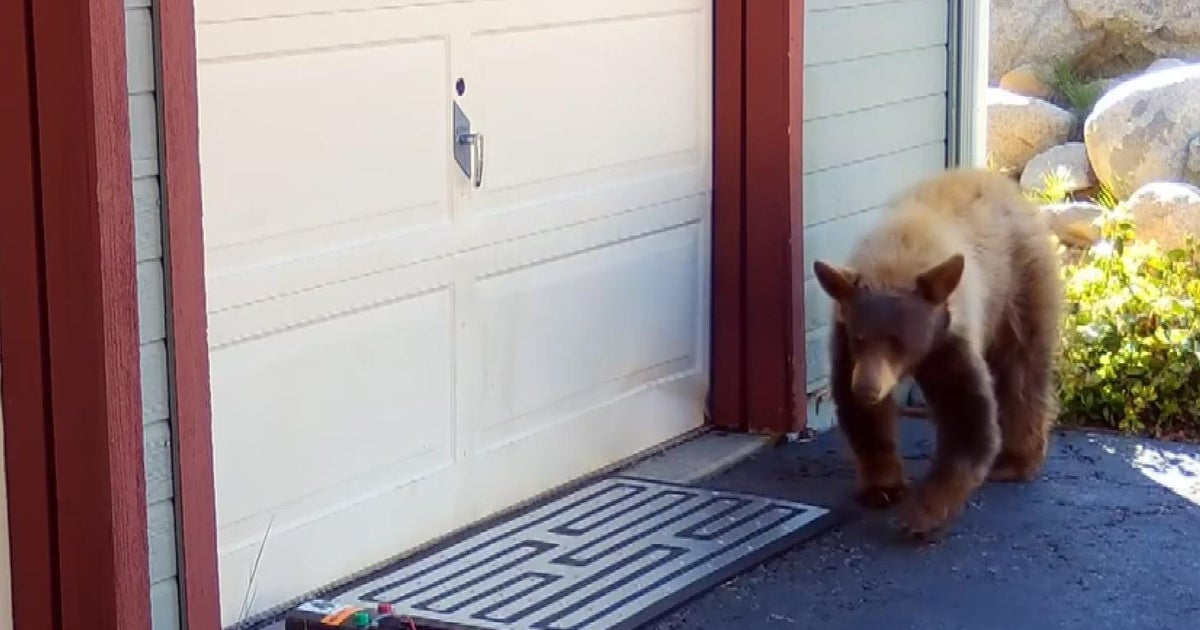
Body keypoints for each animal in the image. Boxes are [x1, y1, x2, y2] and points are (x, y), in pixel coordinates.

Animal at [811, 167, 1064, 540]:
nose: (867, 389)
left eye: (899, 341)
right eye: (860, 339)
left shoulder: (950, 338)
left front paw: (920, 514)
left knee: (1024, 369)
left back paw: (1016, 461)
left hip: (1021, 283)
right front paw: (882, 488)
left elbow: (967, 417)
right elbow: (862, 416)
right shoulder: (844, 340)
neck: (896, 258)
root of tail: (1007, 186)